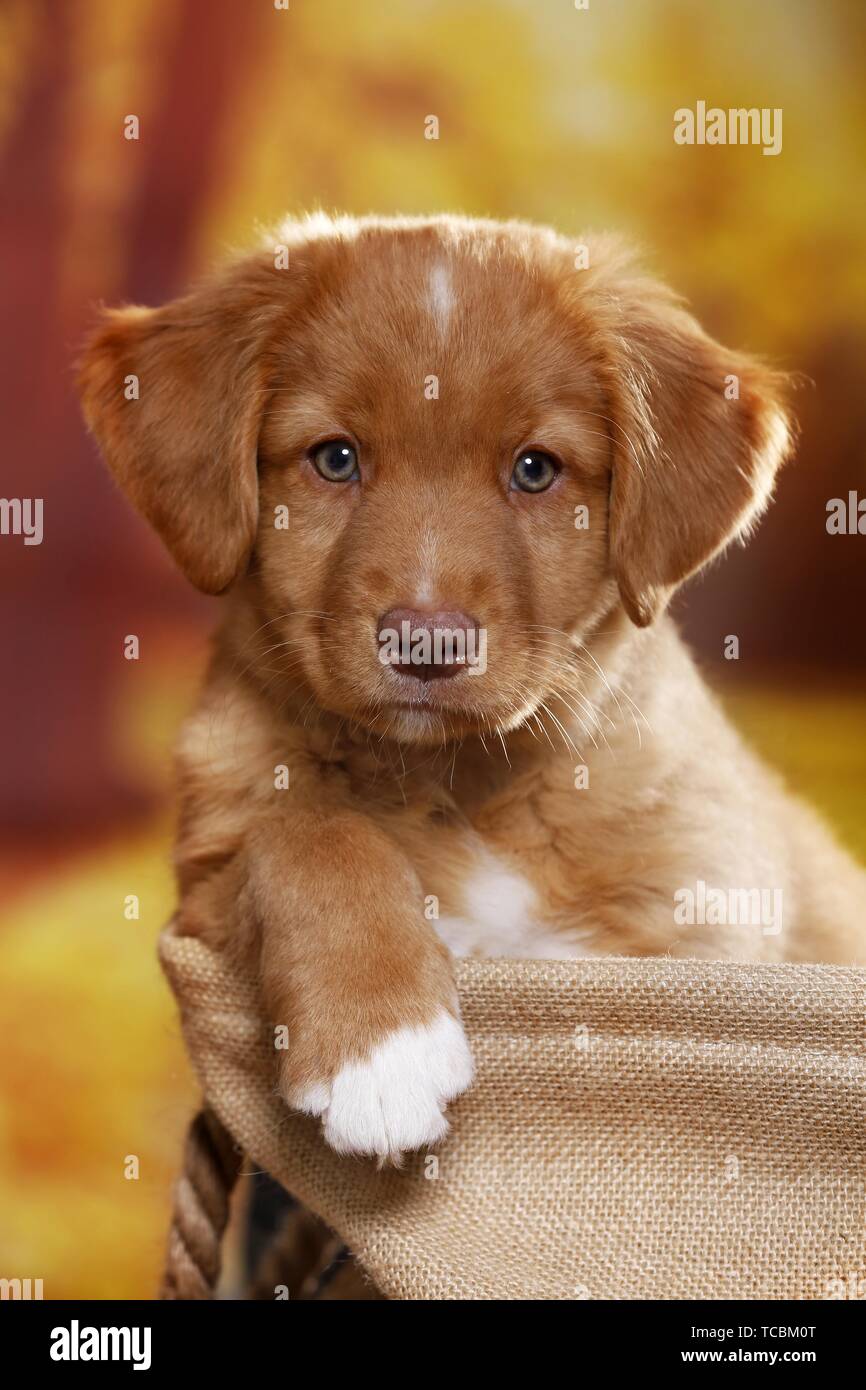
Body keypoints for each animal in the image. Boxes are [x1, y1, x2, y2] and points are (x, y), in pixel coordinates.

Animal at [77, 211, 866, 1156]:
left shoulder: (700, 931)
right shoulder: (208, 871)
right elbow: (306, 832)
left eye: (535, 470)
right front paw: (381, 1049)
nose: (428, 643)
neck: (463, 783)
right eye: (334, 459)